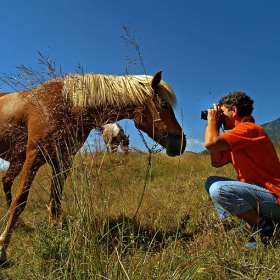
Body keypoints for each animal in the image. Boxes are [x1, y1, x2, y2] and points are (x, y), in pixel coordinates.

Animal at [0, 70, 186, 262]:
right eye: (163, 104)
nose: (182, 143)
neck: (65, 104)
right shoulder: (34, 156)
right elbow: (20, 201)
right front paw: (3, 249)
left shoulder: (62, 161)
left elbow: (55, 203)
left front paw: (55, 238)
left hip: (17, 161)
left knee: (6, 181)